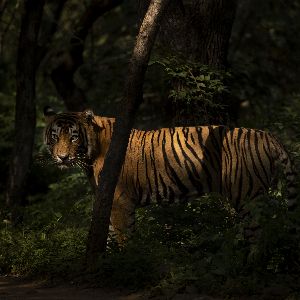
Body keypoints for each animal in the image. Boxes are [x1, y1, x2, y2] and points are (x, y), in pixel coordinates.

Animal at [42, 106, 298, 240]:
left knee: (261, 232)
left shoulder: (119, 200)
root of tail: (268, 136)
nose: (62, 157)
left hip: (247, 194)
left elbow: (121, 235)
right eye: (55, 137)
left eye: (74, 137)